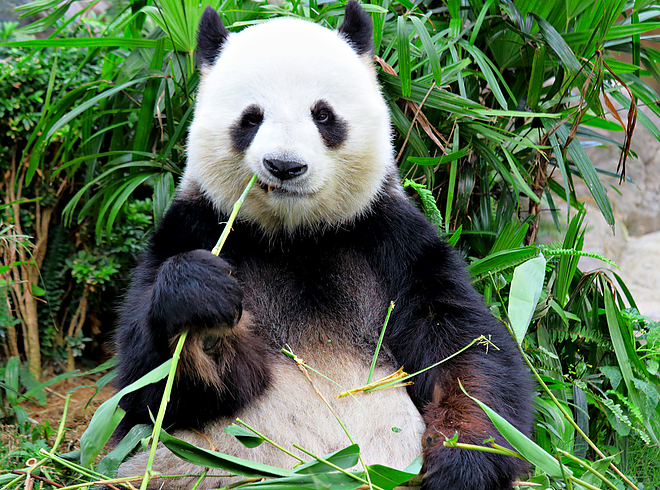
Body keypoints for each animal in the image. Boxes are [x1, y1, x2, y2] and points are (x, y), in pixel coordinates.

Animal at [114, 3, 533, 490]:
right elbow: (150, 390)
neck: (295, 235)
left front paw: (464, 463)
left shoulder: (390, 239)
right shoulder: (194, 227)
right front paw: (201, 307)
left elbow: (465, 350)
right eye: (251, 118)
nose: (284, 166)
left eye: (323, 115)